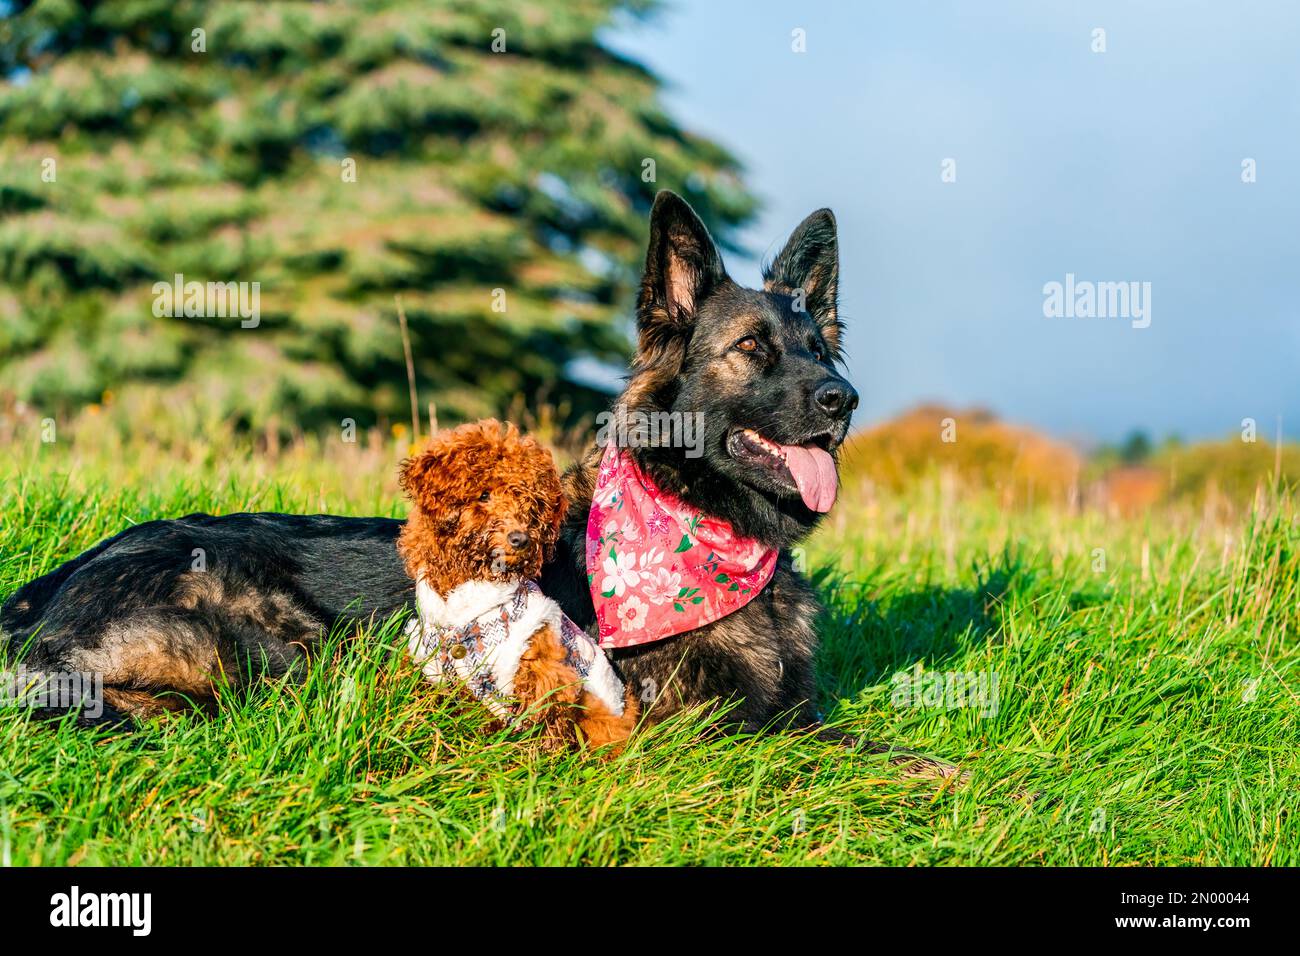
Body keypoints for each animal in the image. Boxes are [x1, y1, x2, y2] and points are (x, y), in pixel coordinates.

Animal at [0, 196, 941, 770]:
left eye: (821, 352)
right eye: (752, 349)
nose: (843, 401)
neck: (699, 524)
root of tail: (49, 585)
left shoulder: (787, 706)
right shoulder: (707, 729)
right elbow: (856, 748)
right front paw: (937, 769)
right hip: (273, 642)